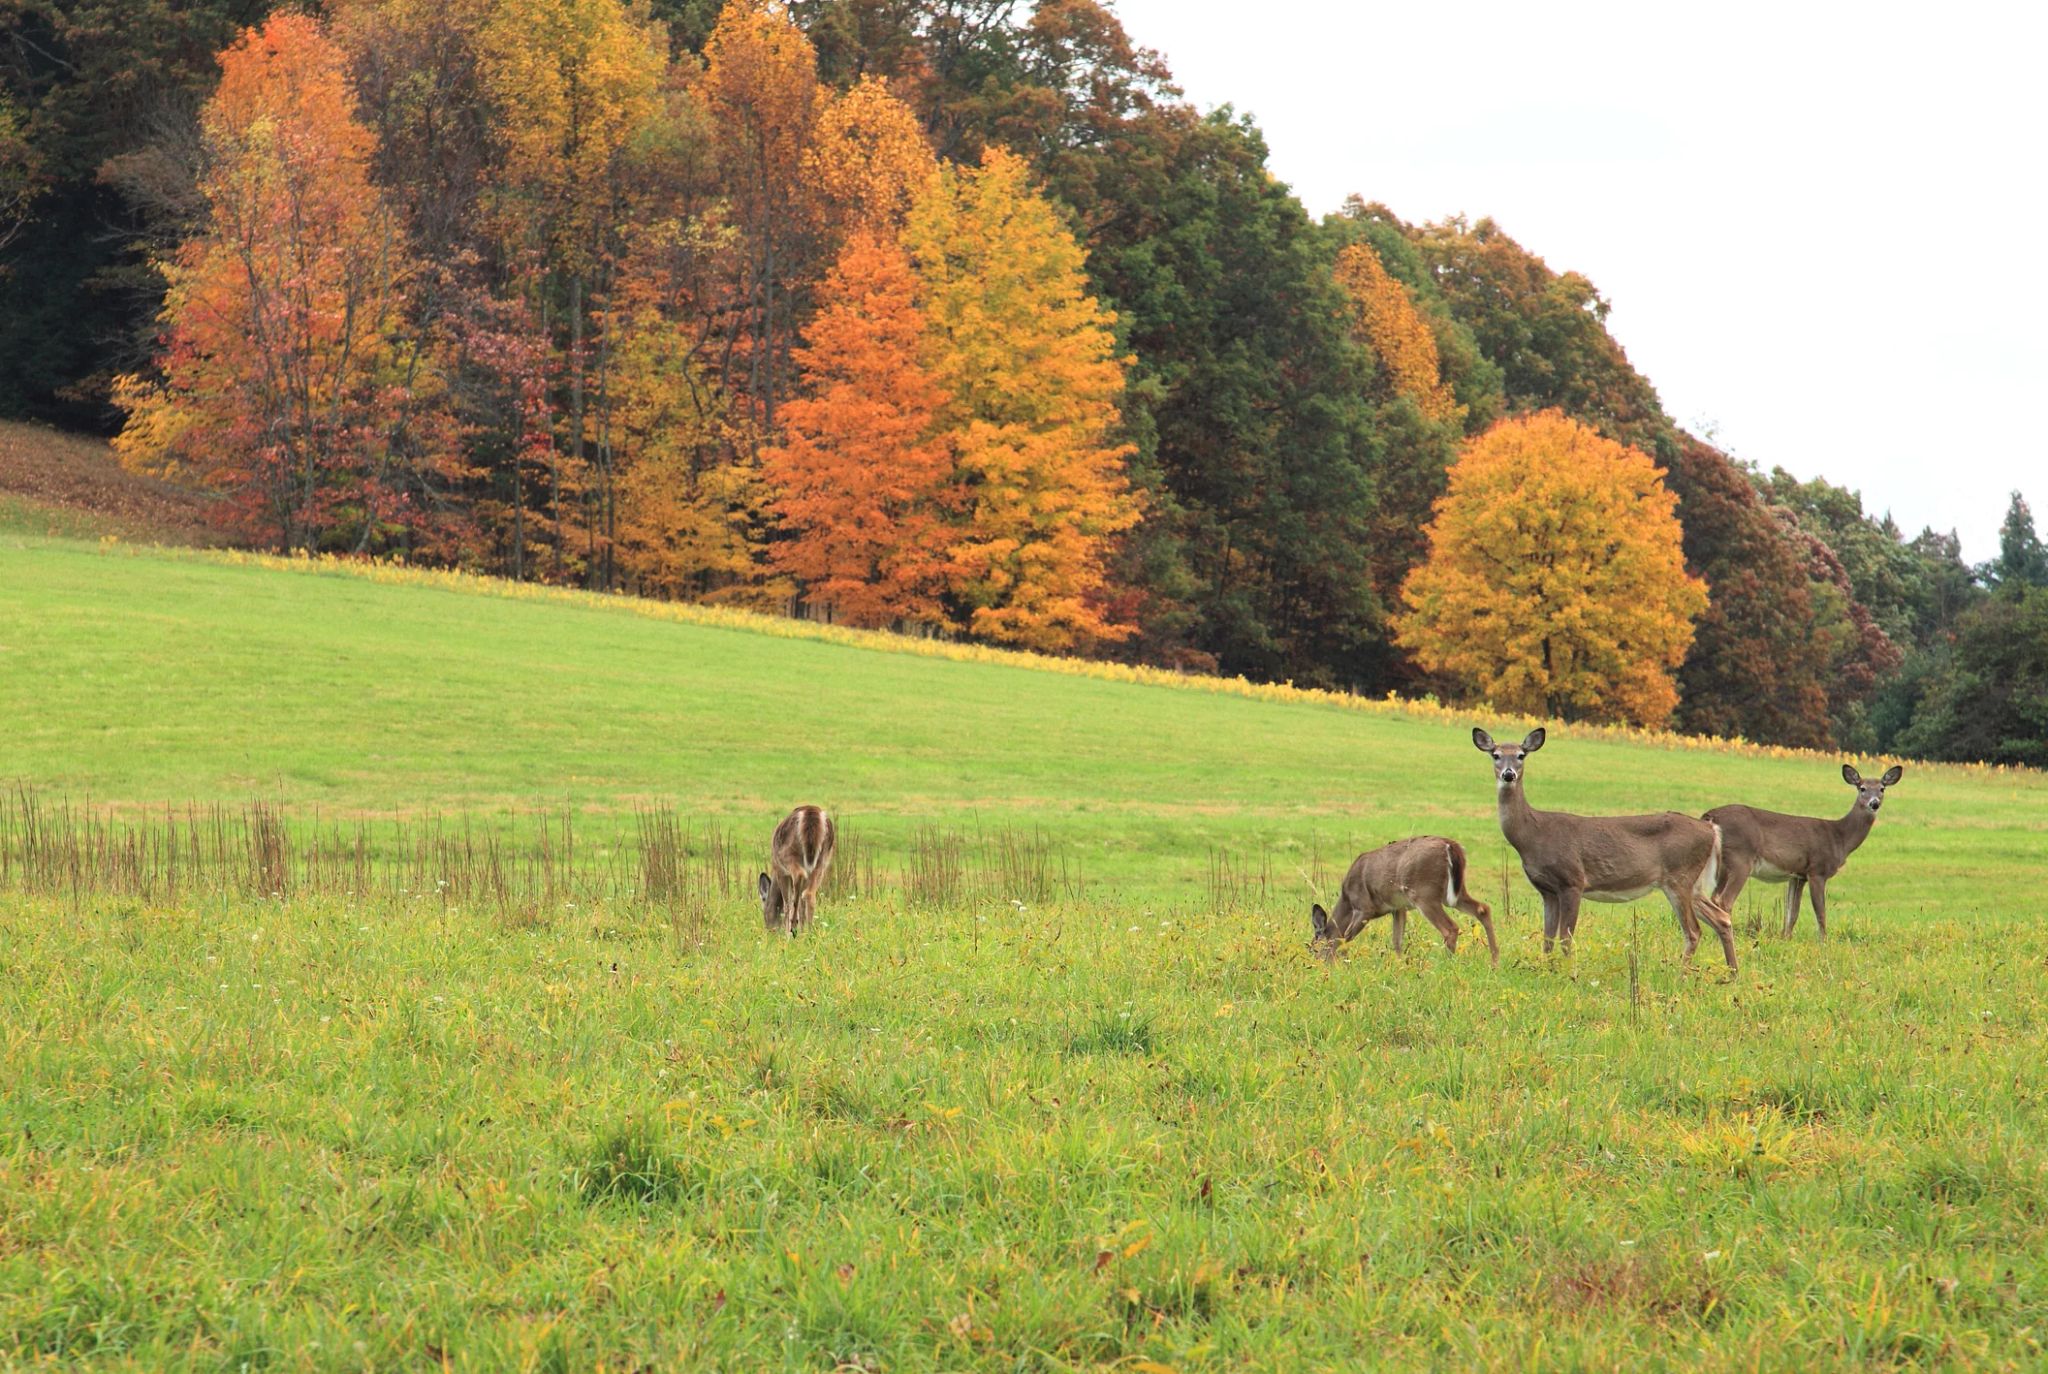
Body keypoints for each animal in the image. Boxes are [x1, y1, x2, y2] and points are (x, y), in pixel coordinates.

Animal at [1302, 831, 1499, 962]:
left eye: (1313, 949)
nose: (1315, 964)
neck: (1347, 900)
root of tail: (1450, 845)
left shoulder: (1364, 907)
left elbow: (1344, 938)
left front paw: (1339, 963)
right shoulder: (1398, 908)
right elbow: (1397, 941)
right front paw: (1399, 966)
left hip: (1424, 893)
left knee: (1450, 928)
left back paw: (1448, 964)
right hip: (1454, 893)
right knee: (1483, 909)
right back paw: (1495, 961)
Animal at [1466, 724, 1736, 974]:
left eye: (1521, 755)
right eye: (1496, 755)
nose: (1508, 775)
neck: (1533, 835)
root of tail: (1711, 829)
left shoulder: (1573, 881)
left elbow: (1566, 939)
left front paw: (1569, 974)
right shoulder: (1547, 890)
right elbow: (1547, 940)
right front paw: (1547, 970)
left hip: (1679, 877)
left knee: (1694, 930)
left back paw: (1682, 975)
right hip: (1694, 883)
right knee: (1722, 918)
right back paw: (1732, 974)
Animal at [1695, 757, 1900, 941]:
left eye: (1882, 788)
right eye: (1862, 788)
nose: (1874, 803)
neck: (1839, 838)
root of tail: (1710, 816)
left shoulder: (1798, 875)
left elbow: (1792, 913)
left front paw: (1785, 939)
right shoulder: (1817, 870)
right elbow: (1821, 913)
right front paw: (1823, 942)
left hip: (1723, 866)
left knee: (1713, 897)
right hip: (1740, 859)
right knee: (1724, 900)